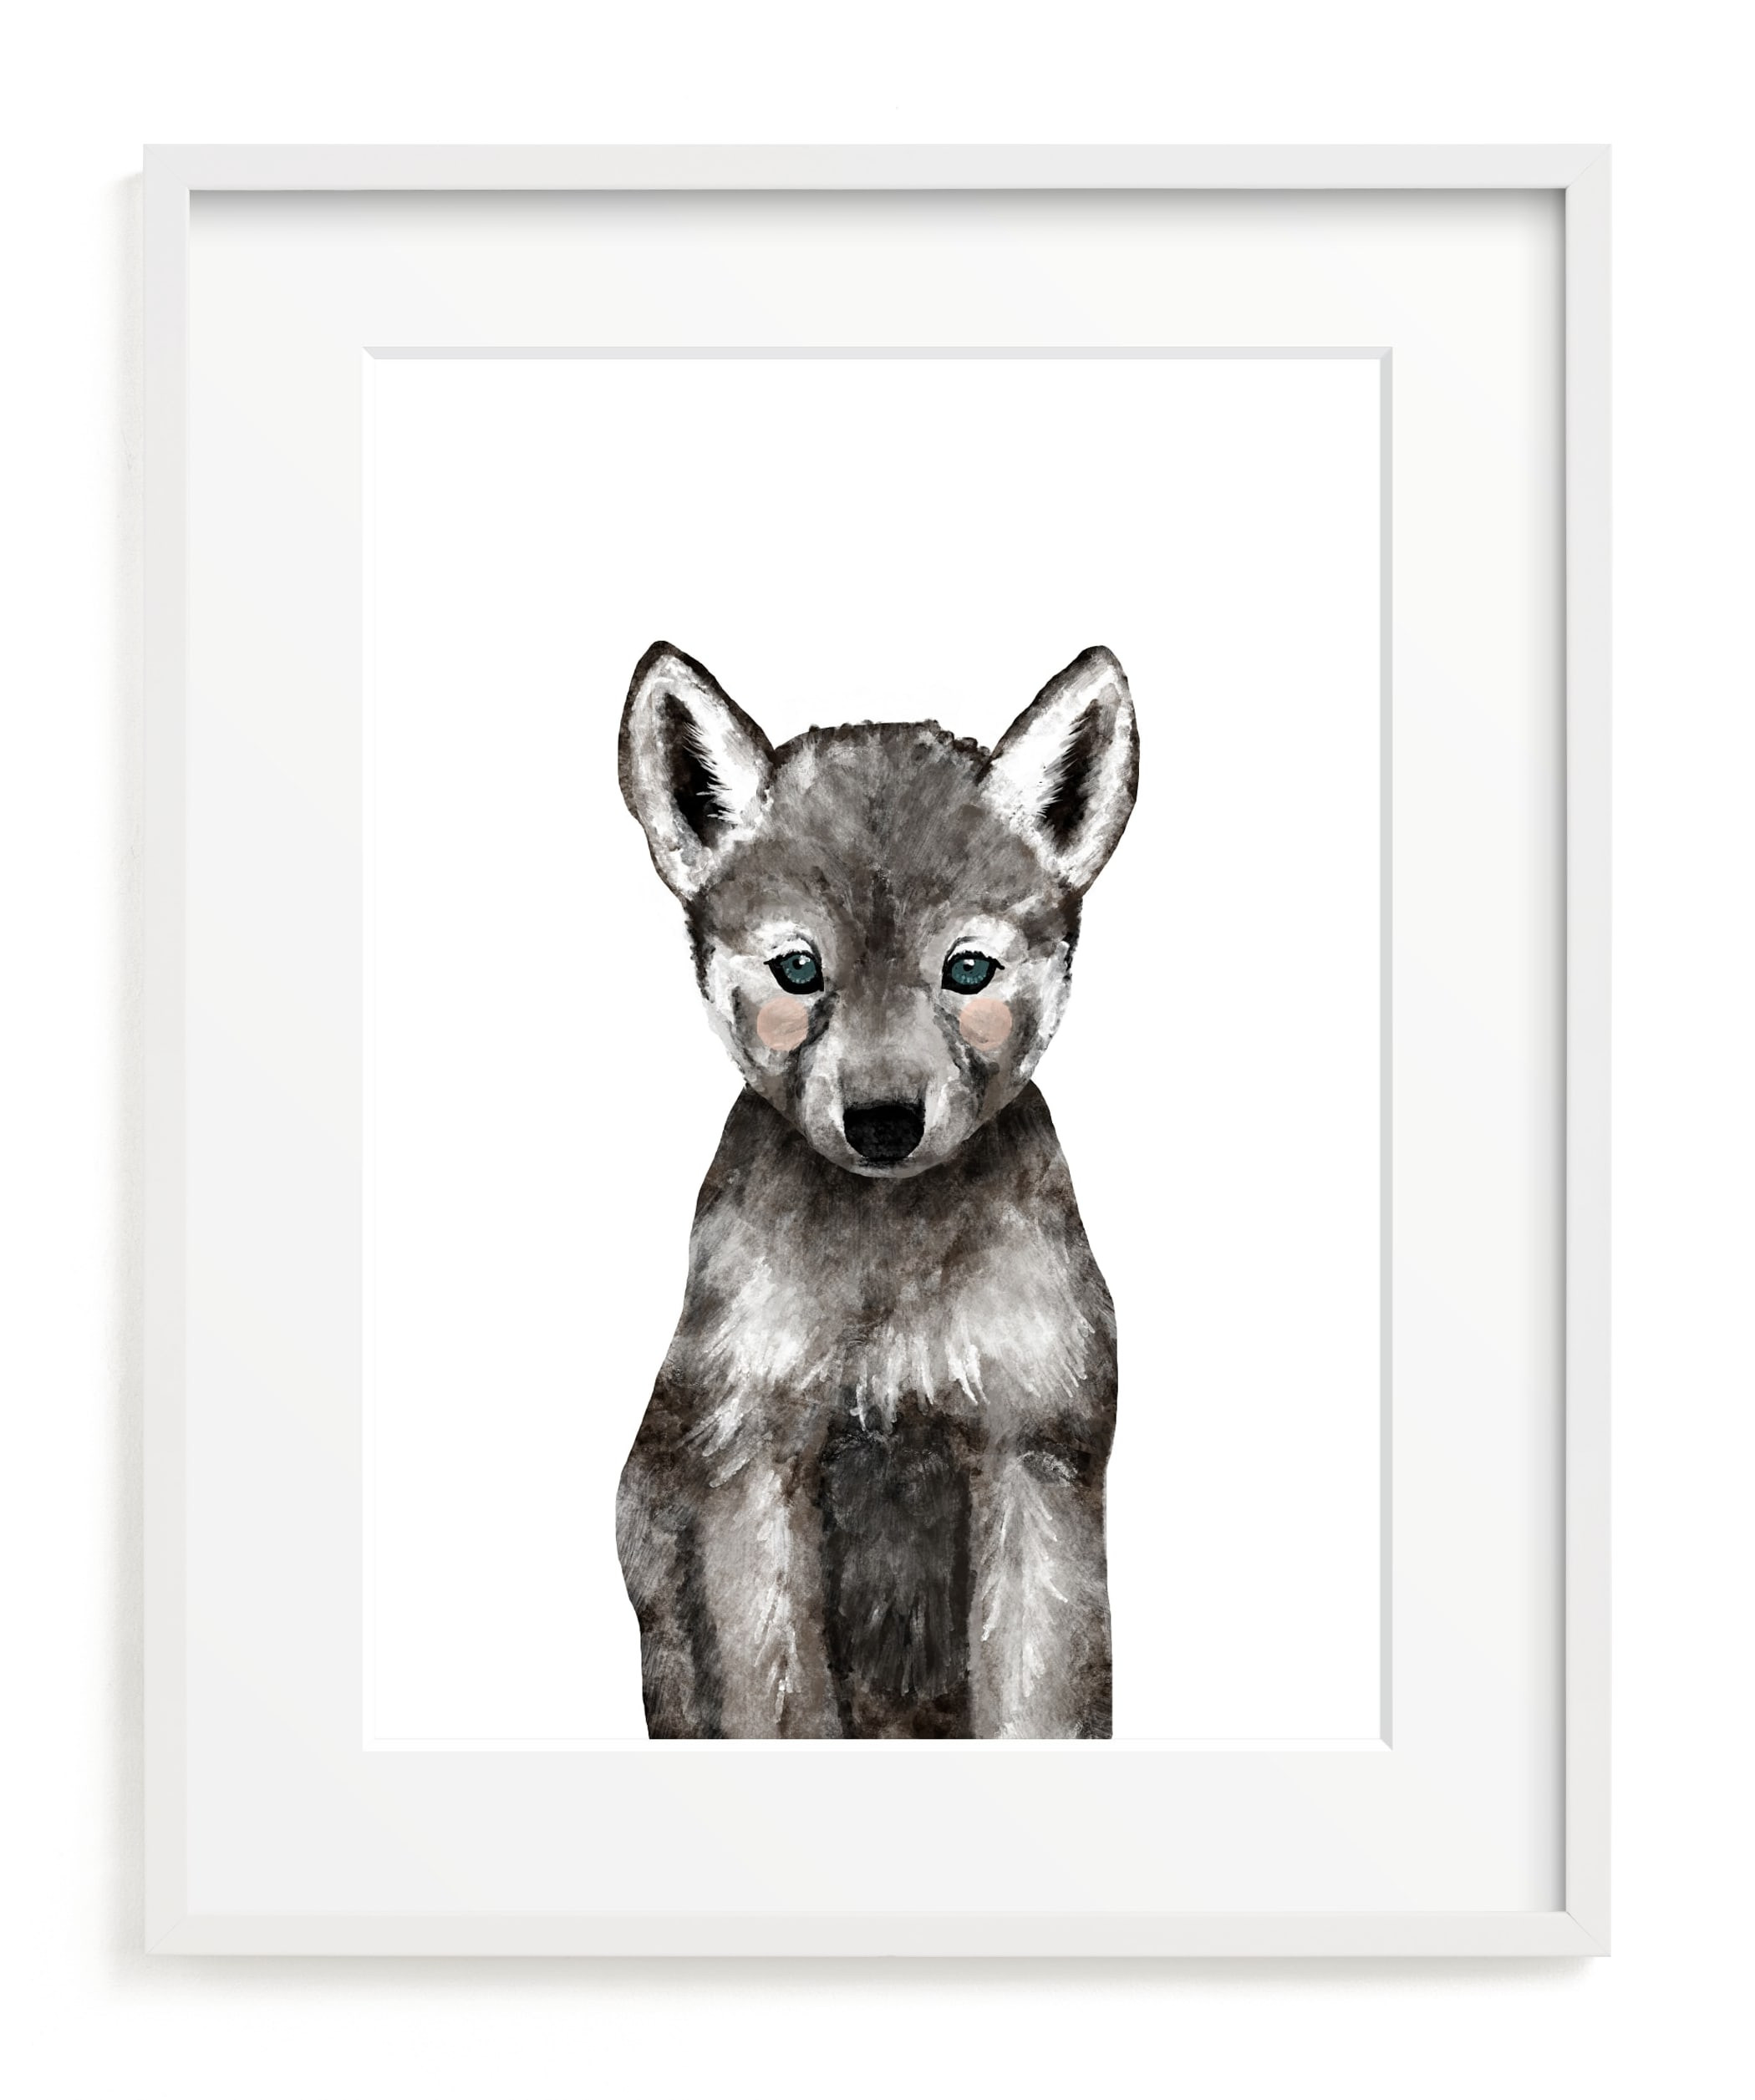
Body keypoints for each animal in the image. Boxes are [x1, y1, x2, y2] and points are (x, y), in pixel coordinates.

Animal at [615, 641, 1139, 1738]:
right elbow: (776, 1706)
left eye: (969, 969)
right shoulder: (752, 1464)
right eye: (798, 968)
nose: (885, 1120)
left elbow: (1040, 1704)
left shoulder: (1035, 1457)